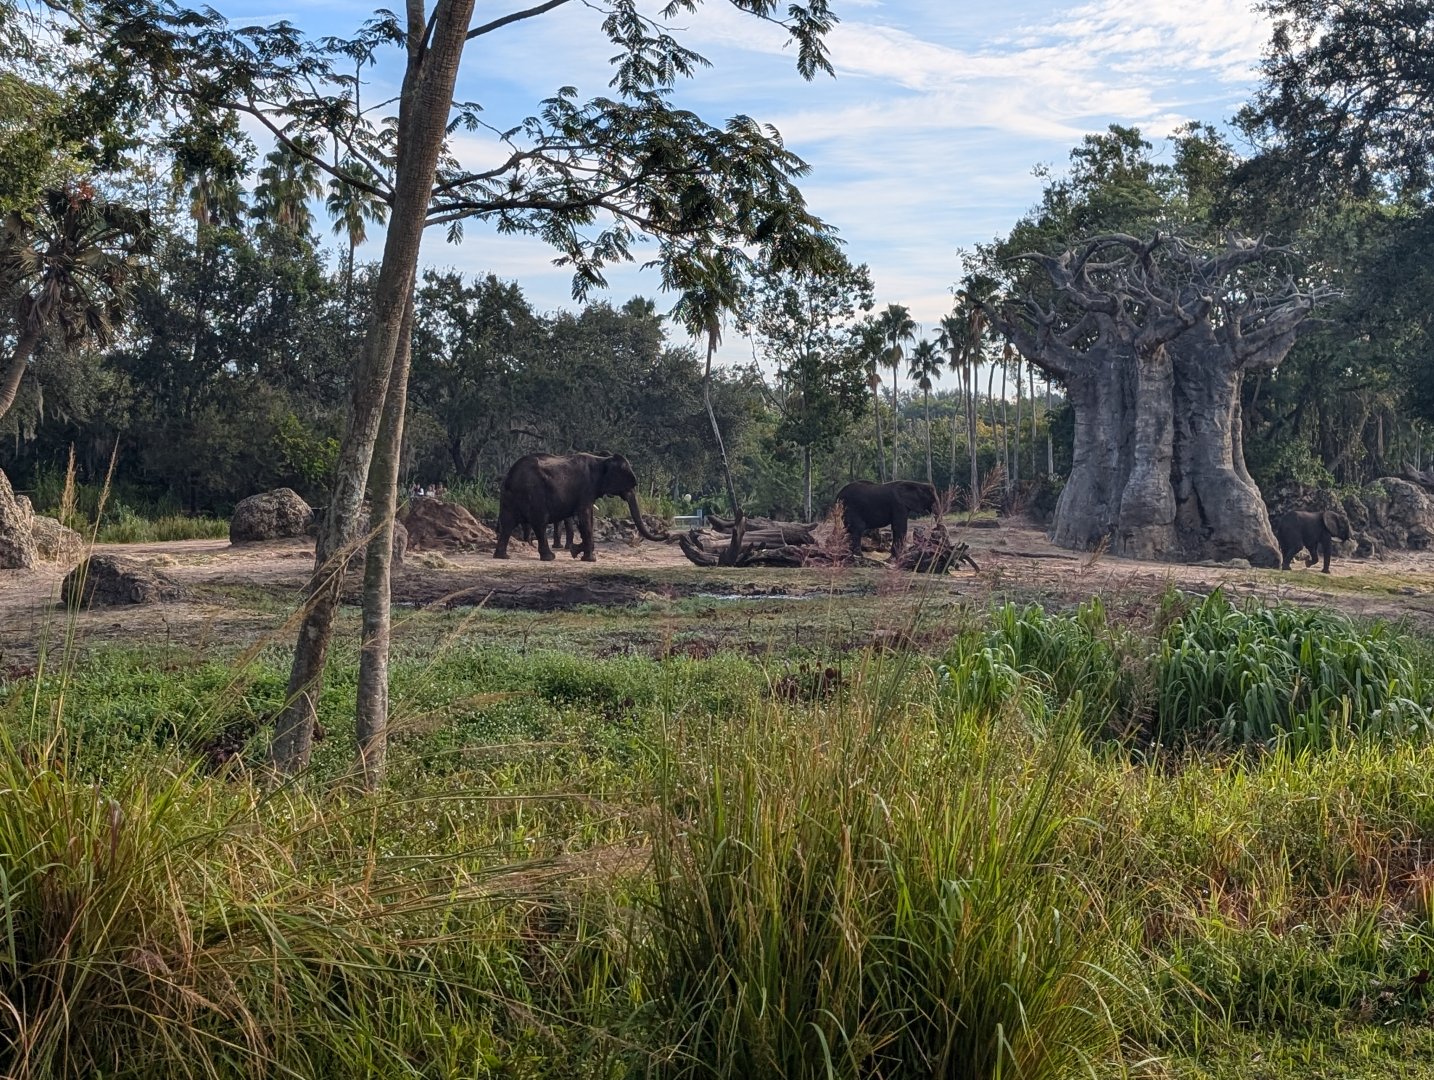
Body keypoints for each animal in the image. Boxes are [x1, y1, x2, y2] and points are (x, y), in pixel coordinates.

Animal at [494, 452, 664, 561]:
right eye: (630, 486)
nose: (666, 535)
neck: (603, 459)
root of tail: (509, 476)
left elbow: (588, 519)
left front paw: (575, 551)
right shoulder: (586, 488)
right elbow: (584, 517)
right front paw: (589, 558)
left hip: (508, 497)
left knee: (507, 523)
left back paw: (502, 556)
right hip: (534, 494)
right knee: (539, 522)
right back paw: (549, 557)